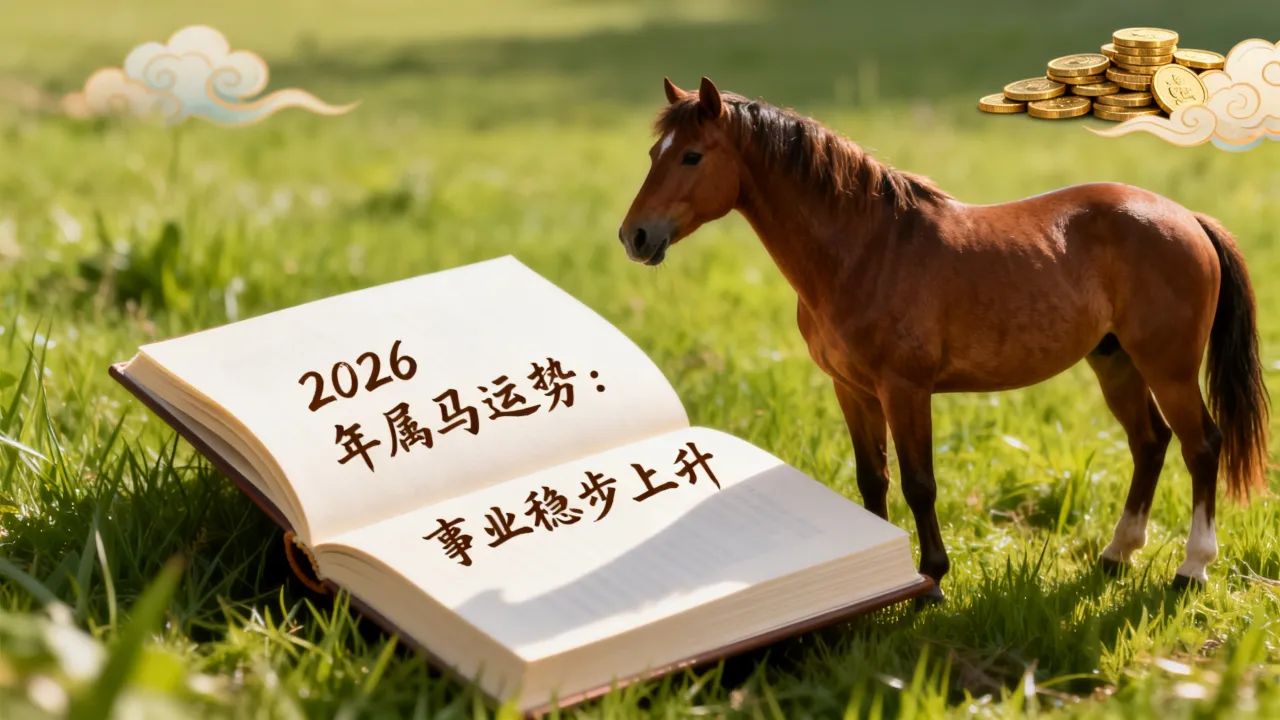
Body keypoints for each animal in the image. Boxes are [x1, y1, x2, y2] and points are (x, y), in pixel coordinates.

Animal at [617, 76, 1270, 604]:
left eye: (692, 156)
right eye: (652, 153)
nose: (634, 236)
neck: (865, 249)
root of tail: (1186, 218)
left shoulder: (904, 390)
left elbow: (919, 484)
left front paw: (930, 581)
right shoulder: (852, 389)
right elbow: (872, 480)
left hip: (1169, 369)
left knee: (1201, 446)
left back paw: (1192, 569)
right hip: (1115, 362)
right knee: (1149, 443)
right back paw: (1116, 556)